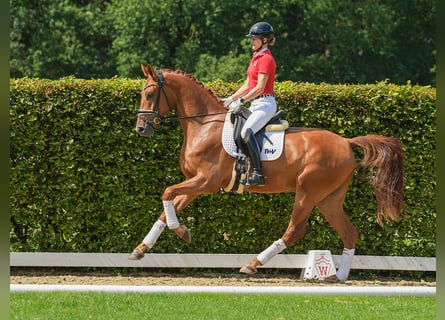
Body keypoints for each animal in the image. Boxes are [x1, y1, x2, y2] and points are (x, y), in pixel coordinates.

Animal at [128, 63, 402, 282]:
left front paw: (181, 232)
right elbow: (168, 208)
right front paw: (143, 248)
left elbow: (167, 192)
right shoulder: (195, 183)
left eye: (150, 93)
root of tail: (346, 141)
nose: (141, 129)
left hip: (308, 191)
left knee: (295, 230)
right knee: (349, 232)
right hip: (329, 199)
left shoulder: (206, 181)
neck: (204, 124)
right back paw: (340, 277)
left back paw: (253, 264)